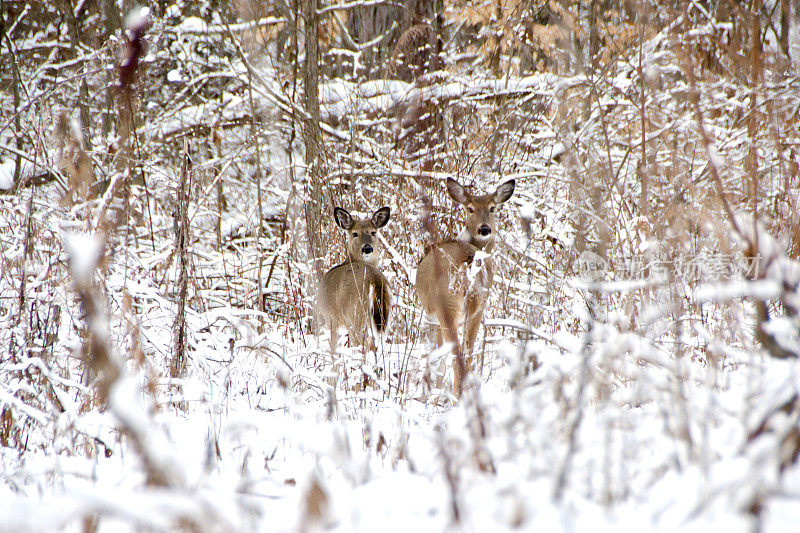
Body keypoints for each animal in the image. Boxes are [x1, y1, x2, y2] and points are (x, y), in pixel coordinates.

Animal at [320, 207, 392, 354]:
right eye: (355, 233)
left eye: (373, 232)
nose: (367, 248)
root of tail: (373, 276)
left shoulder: (331, 318)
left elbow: (333, 347)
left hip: (354, 314)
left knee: (361, 345)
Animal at [416, 177, 516, 396]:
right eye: (470, 208)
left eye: (493, 208)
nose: (484, 229)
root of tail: (468, 262)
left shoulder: (434, 317)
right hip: (478, 307)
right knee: (468, 356)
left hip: (446, 306)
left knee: (456, 359)